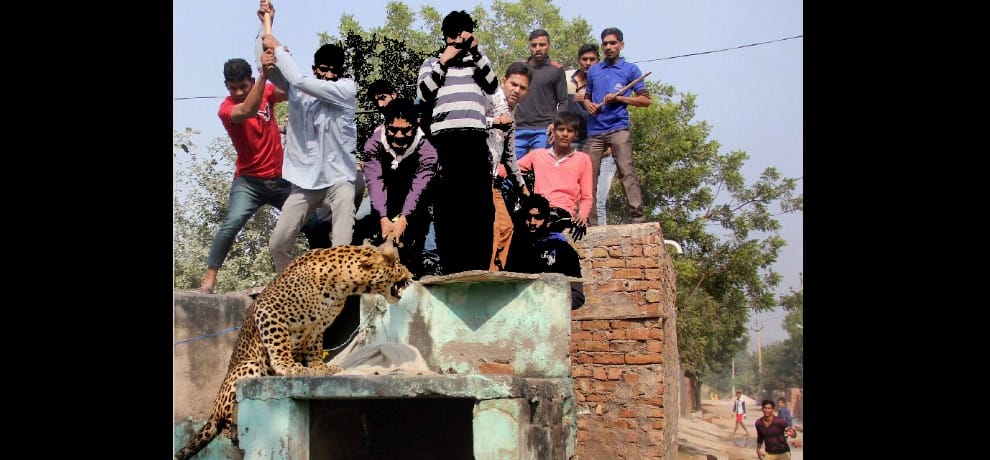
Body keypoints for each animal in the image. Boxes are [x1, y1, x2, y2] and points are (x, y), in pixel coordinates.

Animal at [175, 243, 413, 460]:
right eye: (396, 264)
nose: (411, 276)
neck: (343, 285)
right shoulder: (268, 310)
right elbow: (278, 342)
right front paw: (288, 366)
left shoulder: (316, 326)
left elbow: (315, 348)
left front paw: (319, 368)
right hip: (247, 367)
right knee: (224, 422)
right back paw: (233, 428)